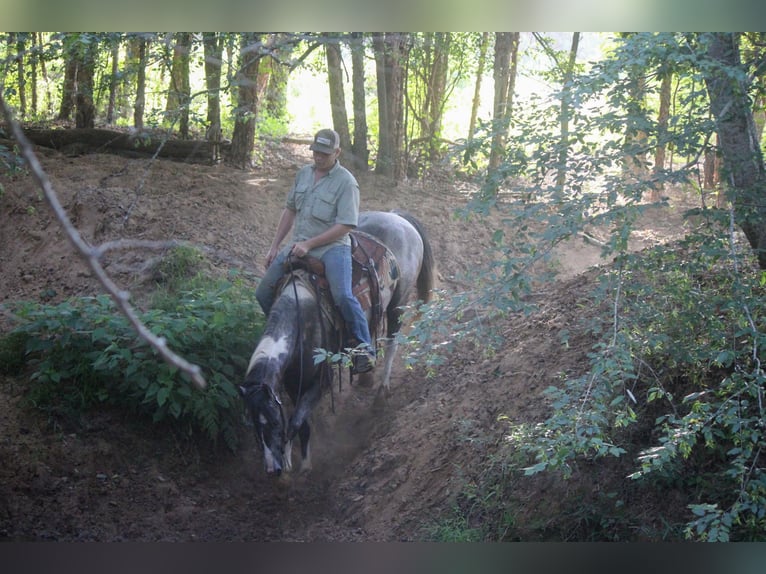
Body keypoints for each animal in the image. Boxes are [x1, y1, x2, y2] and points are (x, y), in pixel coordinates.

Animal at [244, 212, 438, 476]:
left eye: (273, 420)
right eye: (254, 422)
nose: (272, 470)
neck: (302, 320)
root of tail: (398, 217)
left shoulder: (321, 381)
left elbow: (296, 421)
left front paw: (298, 464)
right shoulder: (294, 382)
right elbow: (301, 422)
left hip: (399, 303)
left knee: (391, 344)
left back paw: (381, 393)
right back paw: (366, 374)